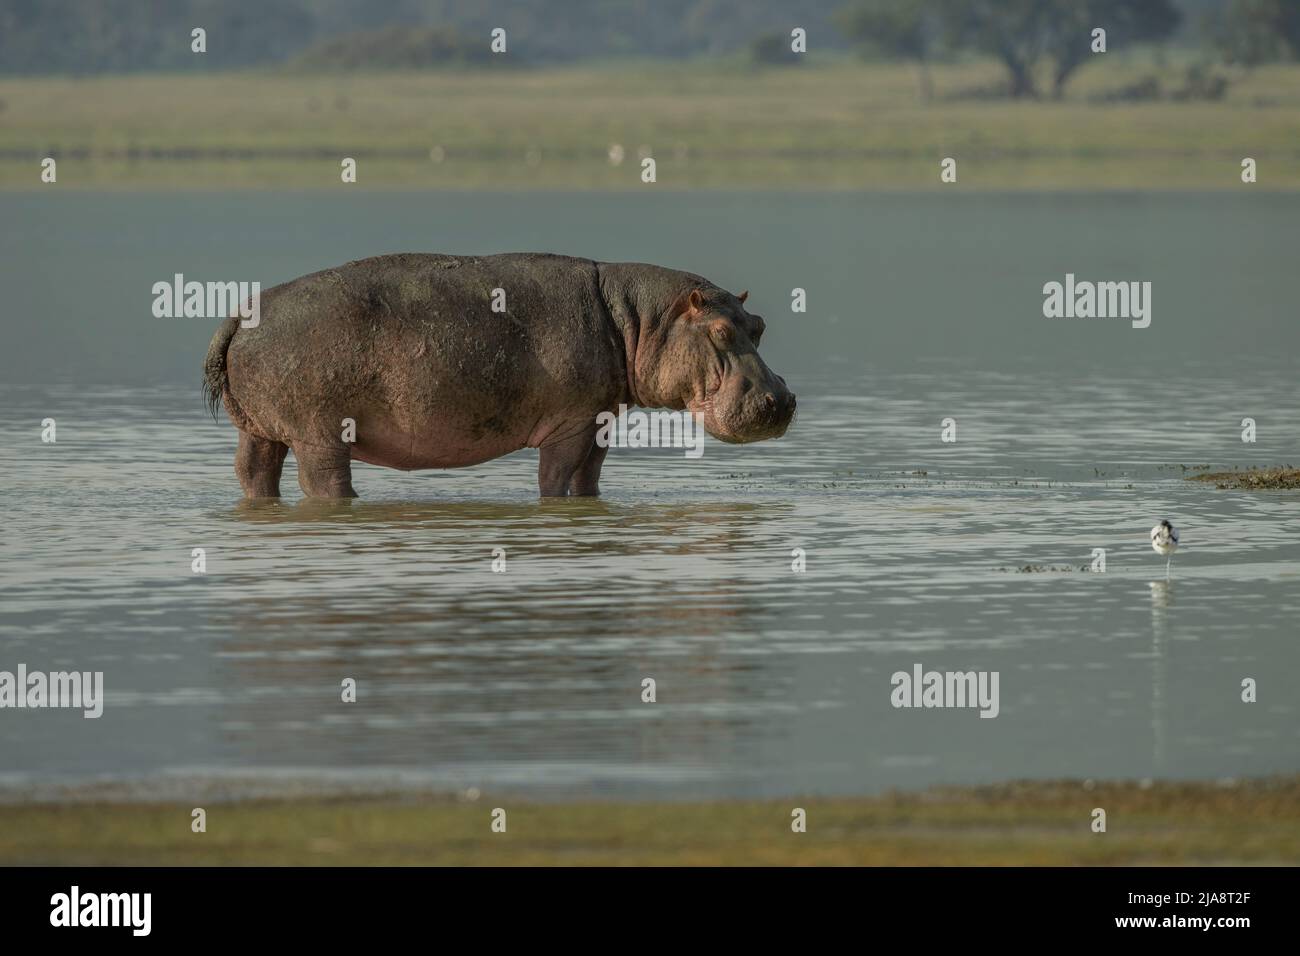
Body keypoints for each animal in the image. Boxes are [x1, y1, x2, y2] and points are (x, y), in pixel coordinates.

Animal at [201, 251, 790, 496]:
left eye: (759, 326)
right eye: (720, 331)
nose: (780, 400)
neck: (641, 318)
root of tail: (241, 314)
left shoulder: (598, 420)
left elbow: (589, 478)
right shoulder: (571, 423)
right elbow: (556, 478)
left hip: (260, 429)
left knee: (254, 473)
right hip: (319, 432)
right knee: (323, 480)